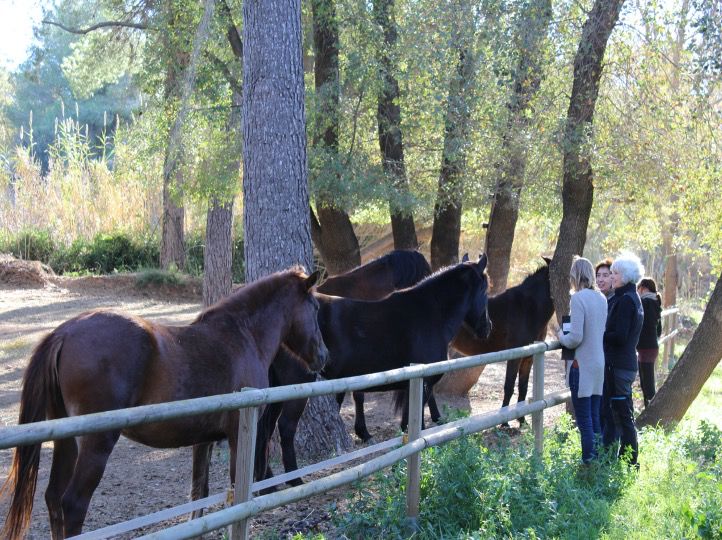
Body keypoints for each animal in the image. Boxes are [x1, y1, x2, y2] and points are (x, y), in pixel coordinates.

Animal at [1, 268, 328, 540]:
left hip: (66, 441)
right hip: (96, 443)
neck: (242, 336)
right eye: (316, 308)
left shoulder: (203, 441)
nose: (323, 356)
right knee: (72, 504)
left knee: (54, 498)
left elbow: (199, 494)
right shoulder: (239, 436)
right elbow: (235, 492)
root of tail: (63, 332)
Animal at [254, 254, 491, 488]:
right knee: (285, 428)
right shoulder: (421, 387)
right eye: (485, 290)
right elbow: (413, 428)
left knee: (264, 429)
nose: (487, 327)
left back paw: (267, 482)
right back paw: (294, 480)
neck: (430, 315)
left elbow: (407, 429)